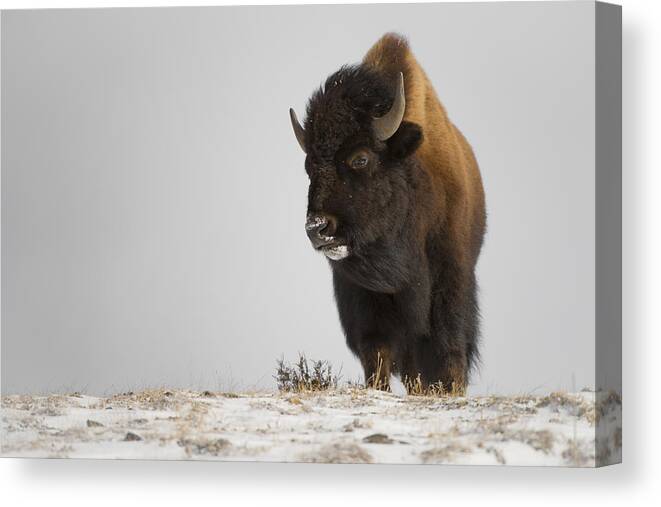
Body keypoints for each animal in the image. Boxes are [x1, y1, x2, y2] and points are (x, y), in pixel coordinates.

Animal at [288, 33, 484, 396]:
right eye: (309, 166)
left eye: (361, 158)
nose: (317, 228)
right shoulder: (362, 299)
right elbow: (376, 351)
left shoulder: (452, 274)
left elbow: (450, 345)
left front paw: (453, 389)